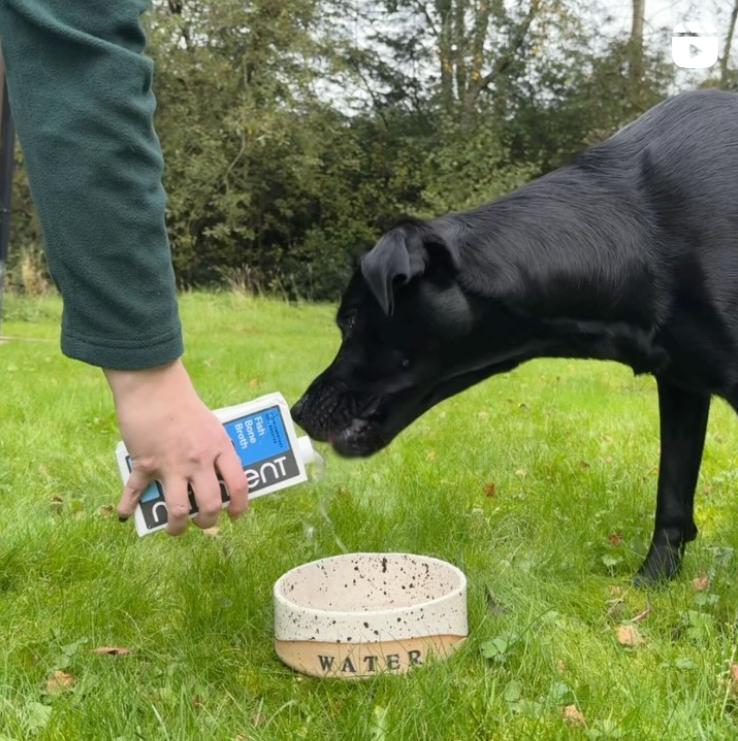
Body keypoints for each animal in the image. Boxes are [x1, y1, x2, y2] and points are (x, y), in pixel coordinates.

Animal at [290, 89, 736, 580]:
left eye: (350, 319)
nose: (296, 410)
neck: (636, 236)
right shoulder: (680, 384)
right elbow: (671, 496)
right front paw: (652, 583)